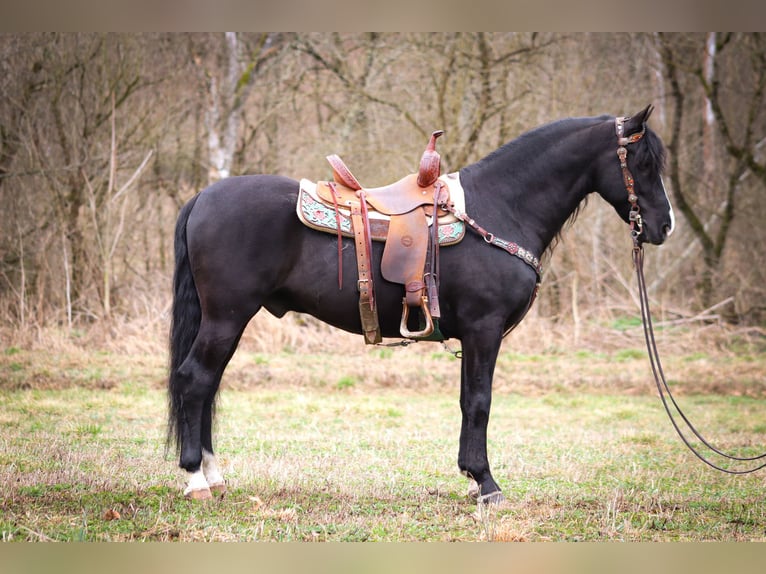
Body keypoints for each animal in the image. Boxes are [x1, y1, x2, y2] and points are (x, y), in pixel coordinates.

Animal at [165, 107, 676, 504]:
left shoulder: (474, 336)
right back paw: (196, 480)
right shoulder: (484, 329)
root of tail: (203, 197)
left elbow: (468, 401)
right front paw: (486, 484)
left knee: (208, 386)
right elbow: (479, 401)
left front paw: (472, 478)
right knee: (195, 381)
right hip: (226, 317)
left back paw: (214, 476)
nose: (664, 225)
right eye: (644, 161)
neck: (500, 207)